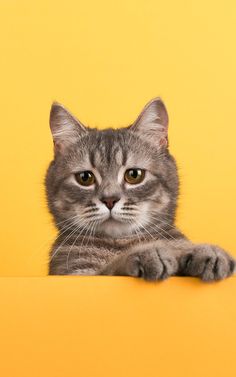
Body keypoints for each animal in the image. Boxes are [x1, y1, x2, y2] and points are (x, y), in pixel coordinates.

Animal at [45, 97, 235, 280]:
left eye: (134, 175)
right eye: (85, 178)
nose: (109, 199)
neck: (123, 242)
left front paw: (205, 251)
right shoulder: (76, 274)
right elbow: (111, 268)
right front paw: (146, 253)